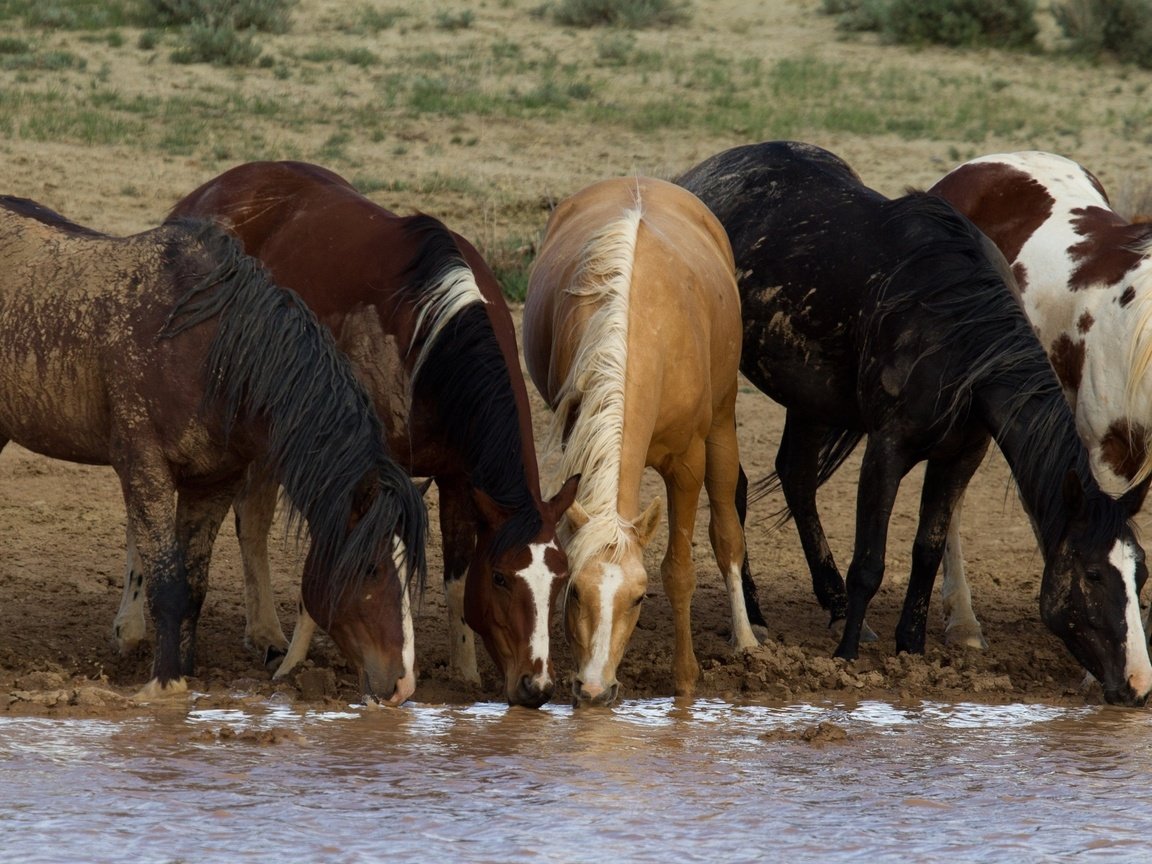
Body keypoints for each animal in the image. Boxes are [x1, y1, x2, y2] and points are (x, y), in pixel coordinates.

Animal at [0, 194, 428, 705]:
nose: (402, 684)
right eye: (370, 568)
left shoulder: (213, 482)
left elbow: (194, 585)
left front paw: (185, 674)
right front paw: (165, 685)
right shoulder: (146, 469)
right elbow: (167, 583)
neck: (208, 351)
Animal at [153, 162, 580, 709]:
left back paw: (264, 634)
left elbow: (457, 576)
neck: (428, 339)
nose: (536, 686)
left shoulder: (459, 479)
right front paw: (295, 666)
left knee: (252, 518)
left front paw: (464, 671)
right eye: (502, 577)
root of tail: (202, 195)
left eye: (561, 578)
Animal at [523, 177, 755, 709]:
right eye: (575, 594)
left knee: (727, 533)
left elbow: (680, 569)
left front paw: (685, 680)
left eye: (637, 599)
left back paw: (746, 639)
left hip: (723, 421)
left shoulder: (687, 463)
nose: (593, 688)